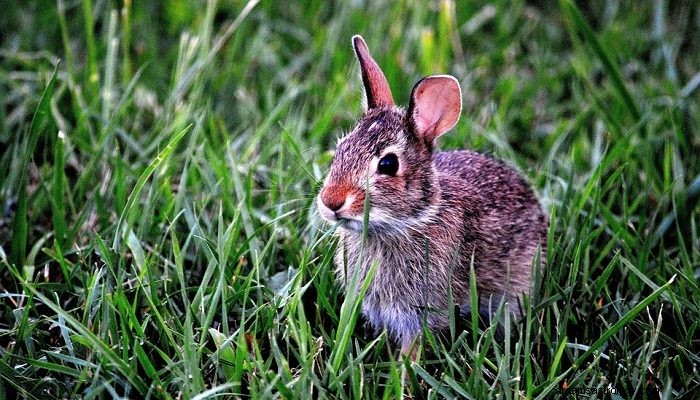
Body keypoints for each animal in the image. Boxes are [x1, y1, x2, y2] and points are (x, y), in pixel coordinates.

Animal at [314, 36, 548, 356]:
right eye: (340, 149)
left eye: (388, 164)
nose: (330, 201)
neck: (410, 221)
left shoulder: (421, 311)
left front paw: (404, 367)